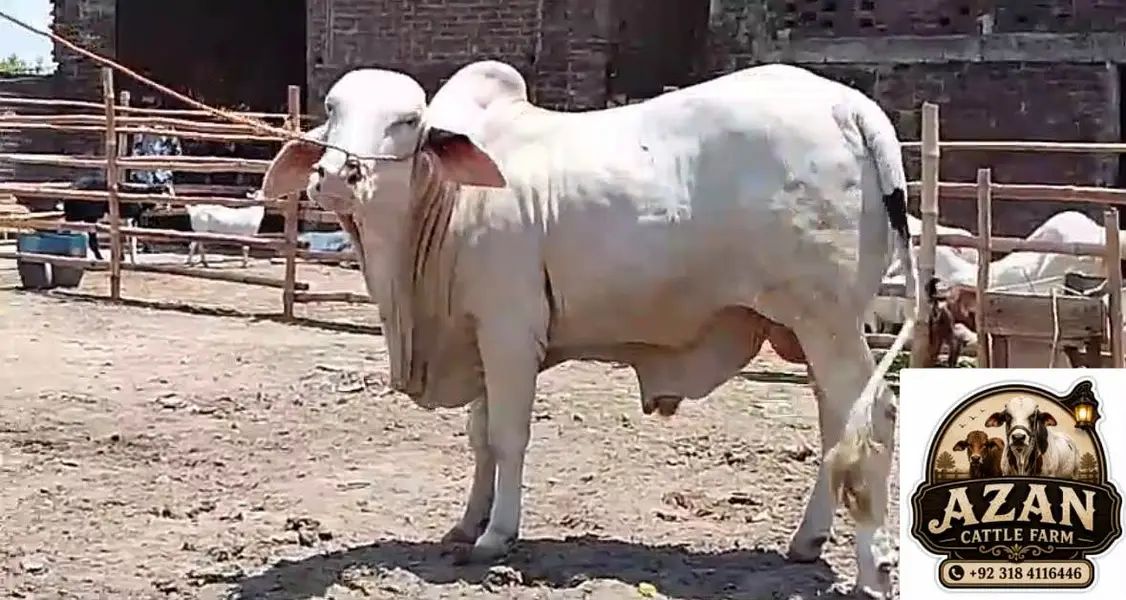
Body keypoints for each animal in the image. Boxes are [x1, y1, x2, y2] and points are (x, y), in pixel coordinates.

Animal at [260, 61, 916, 598]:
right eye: (331, 111)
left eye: (407, 120)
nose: (337, 174)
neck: (447, 206)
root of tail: (849, 107)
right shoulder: (478, 336)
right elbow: (479, 439)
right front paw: (466, 522)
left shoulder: (509, 330)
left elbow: (507, 436)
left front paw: (497, 534)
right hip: (810, 329)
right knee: (836, 424)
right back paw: (808, 542)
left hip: (828, 323)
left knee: (874, 417)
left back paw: (873, 567)